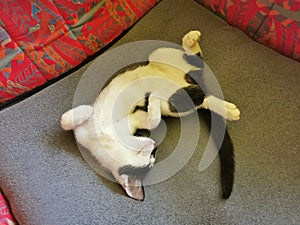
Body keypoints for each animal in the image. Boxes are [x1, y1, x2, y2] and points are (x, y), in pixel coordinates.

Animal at [60, 30, 239, 201]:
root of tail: (191, 83)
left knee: (196, 62)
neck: (104, 136)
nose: (153, 144)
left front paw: (88, 109)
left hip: (161, 56)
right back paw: (227, 108)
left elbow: (67, 119)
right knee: (199, 96)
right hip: (176, 102)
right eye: (150, 155)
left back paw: (191, 39)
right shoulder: (92, 132)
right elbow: (152, 120)